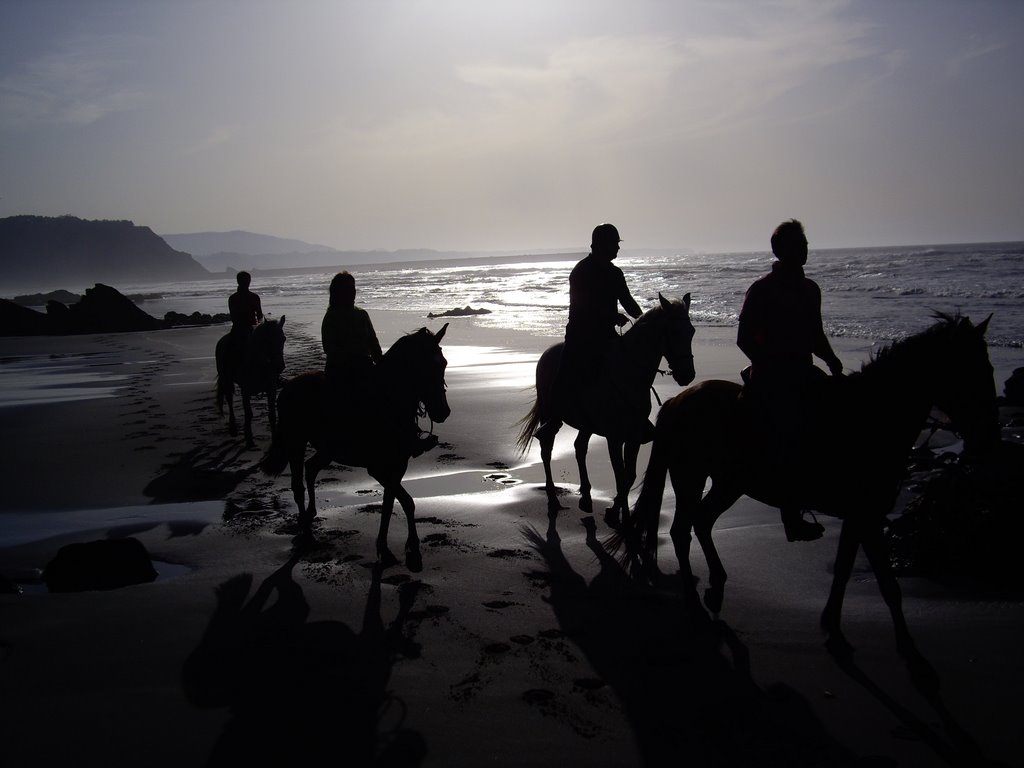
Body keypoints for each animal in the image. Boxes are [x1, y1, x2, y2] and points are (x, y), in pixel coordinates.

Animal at [216, 315, 286, 448]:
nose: (279, 366)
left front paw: (275, 440)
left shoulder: (271, 389)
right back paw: (233, 428)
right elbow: (248, 414)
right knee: (229, 401)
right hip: (226, 380)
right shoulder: (245, 391)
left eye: (284, 339)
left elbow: (272, 415)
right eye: (268, 340)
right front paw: (249, 439)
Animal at [260, 323, 448, 573]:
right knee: (298, 485)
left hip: (327, 449)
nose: (443, 412)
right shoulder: (377, 469)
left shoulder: (398, 466)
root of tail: (289, 386)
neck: (388, 402)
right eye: (423, 366)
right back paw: (305, 532)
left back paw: (310, 514)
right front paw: (400, 548)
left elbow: (393, 503)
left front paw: (395, 548)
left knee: (311, 468)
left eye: (443, 363)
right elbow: (404, 501)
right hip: (296, 442)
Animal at [516, 294, 700, 524]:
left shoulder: (633, 435)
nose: (687, 375)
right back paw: (553, 496)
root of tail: (546, 354)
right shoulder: (614, 437)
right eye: (673, 332)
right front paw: (615, 512)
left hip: (586, 423)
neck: (629, 373)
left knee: (579, 448)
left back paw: (586, 496)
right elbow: (620, 475)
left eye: (691, 332)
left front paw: (622, 513)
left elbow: (629, 475)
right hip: (550, 414)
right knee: (547, 448)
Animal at [614, 313, 999, 679]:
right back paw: (695, 599)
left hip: (728, 484)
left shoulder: (859, 518)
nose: (986, 439)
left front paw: (832, 622)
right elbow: (889, 585)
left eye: (988, 369)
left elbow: (844, 569)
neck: (870, 418)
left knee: (702, 522)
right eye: (973, 371)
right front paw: (909, 651)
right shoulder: (868, 516)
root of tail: (677, 401)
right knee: (682, 530)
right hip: (691, 477)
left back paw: (717, 584)